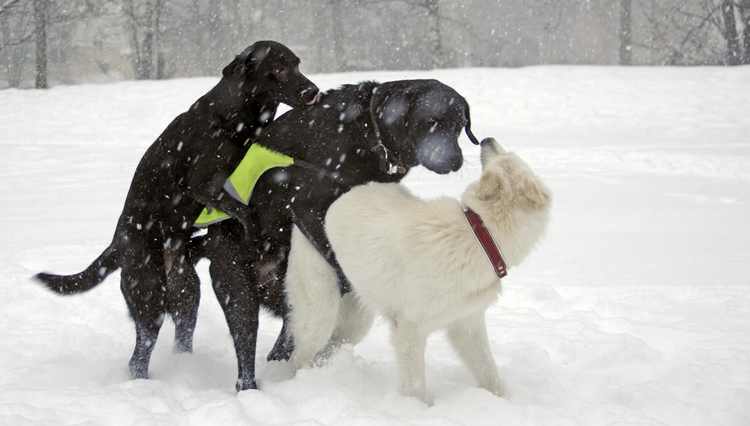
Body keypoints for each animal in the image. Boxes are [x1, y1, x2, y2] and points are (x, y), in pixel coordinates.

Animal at [34, 40, 320, 382]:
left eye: (297, 64)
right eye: (278, 69)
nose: (313, 92)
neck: (234, 119)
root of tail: (117, 245)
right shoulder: (201, 184)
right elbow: (245, 212)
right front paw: (254, 232)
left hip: (186, 293)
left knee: (180, 337)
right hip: (150, 294)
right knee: (138, 357)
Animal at [191, 78, 478, 392]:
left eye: (460, 124)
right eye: (430, 122)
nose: (455, 160)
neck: (368, 131)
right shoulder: (309, 207)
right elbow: (340, 265)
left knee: (286, 337)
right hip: (237, 290)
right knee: (246, 349)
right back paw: (251, 388)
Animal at [284, 138, 548, 402]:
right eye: (506, 157)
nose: (486, 140)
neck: (482, 233)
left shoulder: (467, 325)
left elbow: (490, 374)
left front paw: (503, 401)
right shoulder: (409, 329)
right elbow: (416, 387)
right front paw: (417, 408)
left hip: (355, 323)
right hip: (320, 318)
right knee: (298, 358)